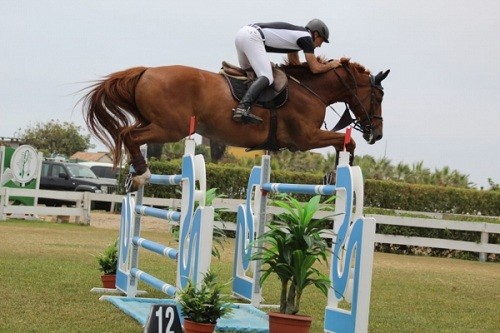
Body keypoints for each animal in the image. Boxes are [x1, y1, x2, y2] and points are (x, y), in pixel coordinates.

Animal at [82, 58, 388, 191]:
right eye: (378, 96)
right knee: (128, 134)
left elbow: (345, 143)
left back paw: (134, 174)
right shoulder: (305, 139)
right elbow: (347, 142)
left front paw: (335, 174)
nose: (378, 134)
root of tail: (146, 71)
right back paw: (142, 173)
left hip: (157, 123)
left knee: (129, 134)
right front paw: (335, 175)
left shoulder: (307, 138)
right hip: (171, 127)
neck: (311, 89)